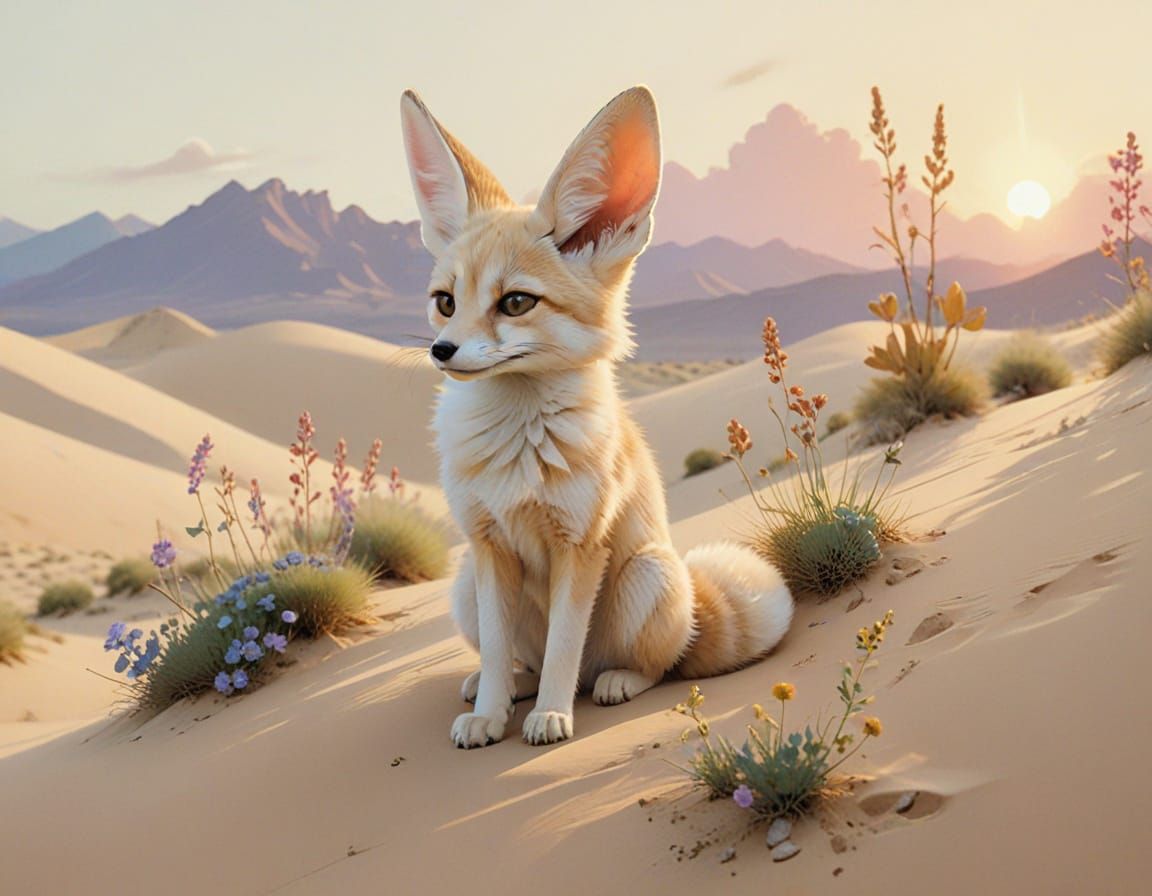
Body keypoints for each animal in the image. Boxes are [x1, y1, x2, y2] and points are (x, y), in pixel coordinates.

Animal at [399, 85, 794, 748]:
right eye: (445, 302)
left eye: (515, 303)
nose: (441, 351)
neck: (516, 451)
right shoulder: (487, 545)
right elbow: (507, 650)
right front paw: (490, 715)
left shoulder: (581, 545)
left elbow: (565, 645)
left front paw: (551, 718)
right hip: (463, 585)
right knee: (522, 661)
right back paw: (501, 687)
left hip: (644, 574)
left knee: (652, 665)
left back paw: (611, 684)